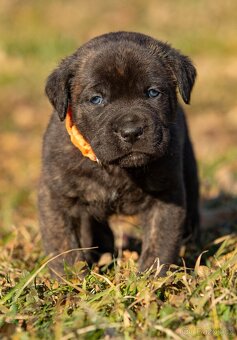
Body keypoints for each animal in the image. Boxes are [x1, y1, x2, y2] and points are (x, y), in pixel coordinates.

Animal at [38, 31, 199, 274]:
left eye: (153, 93)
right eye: (96, 99)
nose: (131, 132)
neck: (116, 170)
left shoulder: (166, 196)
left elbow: (159, 244)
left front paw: (150, 278)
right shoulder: (57, 198)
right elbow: (64, 248)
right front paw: (70, 280)